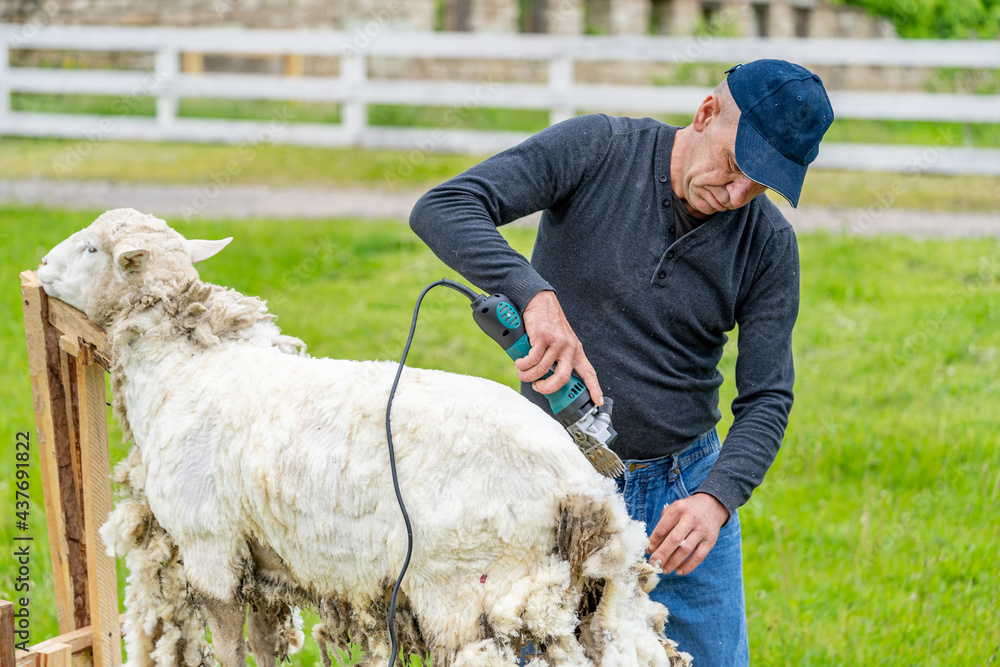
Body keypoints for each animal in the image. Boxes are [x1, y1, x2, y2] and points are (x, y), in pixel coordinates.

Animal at [41, 209, 696, 667]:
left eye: (93, 248)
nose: (41, 267)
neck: (183, 367)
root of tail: (582, 484)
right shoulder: (264, 562)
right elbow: (262, 646)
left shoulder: (212, 546)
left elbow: (227, 645)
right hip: (587, 597)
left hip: (469, 589)